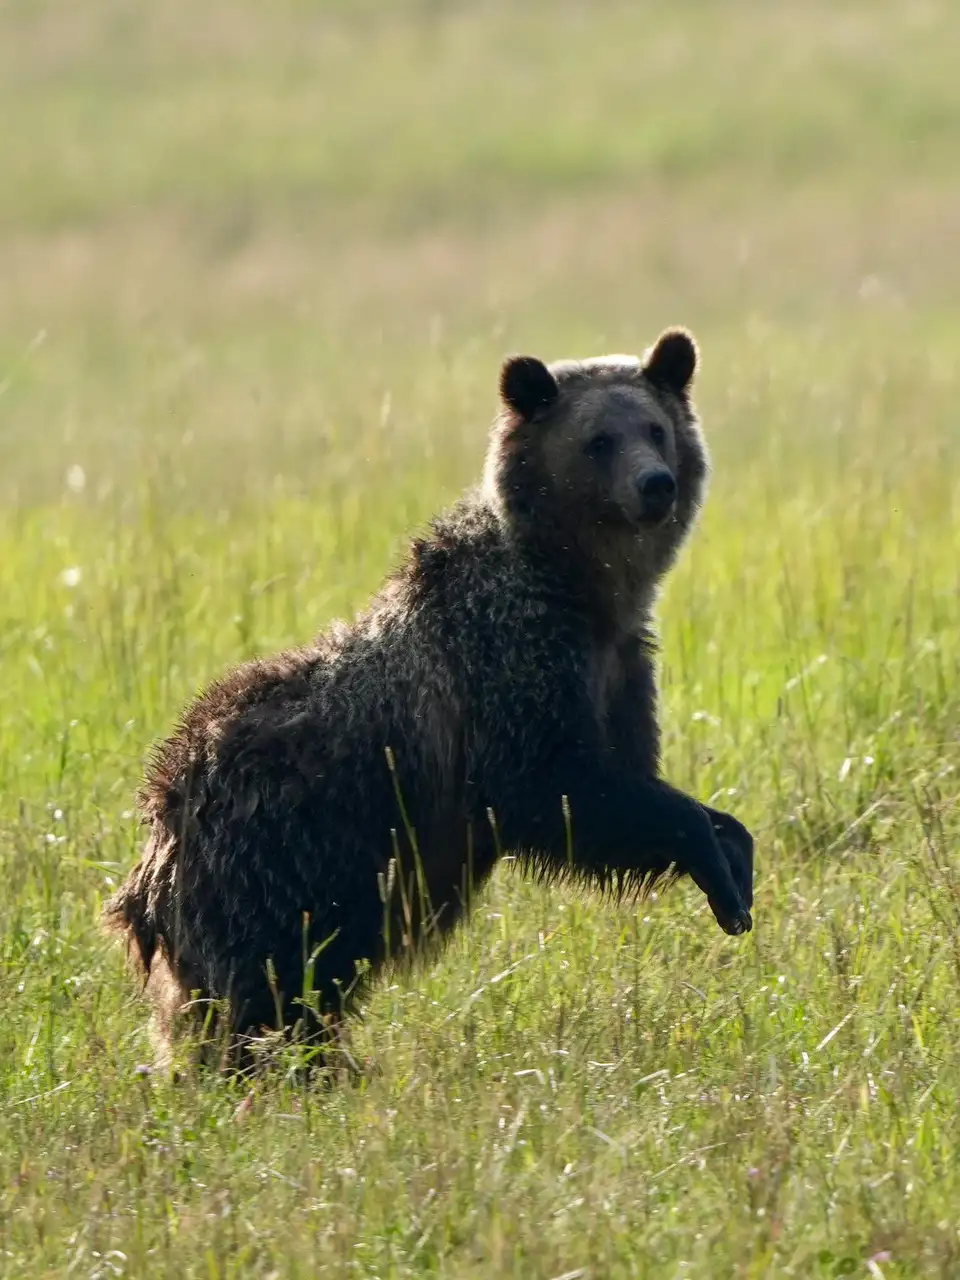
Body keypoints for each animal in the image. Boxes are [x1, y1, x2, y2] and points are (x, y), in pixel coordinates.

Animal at [104, 325, 757, 1064]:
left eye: (655, 428)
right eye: (598, 439)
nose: (655, 484)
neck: (584, 592)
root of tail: (161, 820)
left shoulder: (616, 670)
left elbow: (628, 784)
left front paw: (734, 862)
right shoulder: (511, 669)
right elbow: (570, 791)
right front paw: (716, 861)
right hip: (284, 862)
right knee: (265, 990)